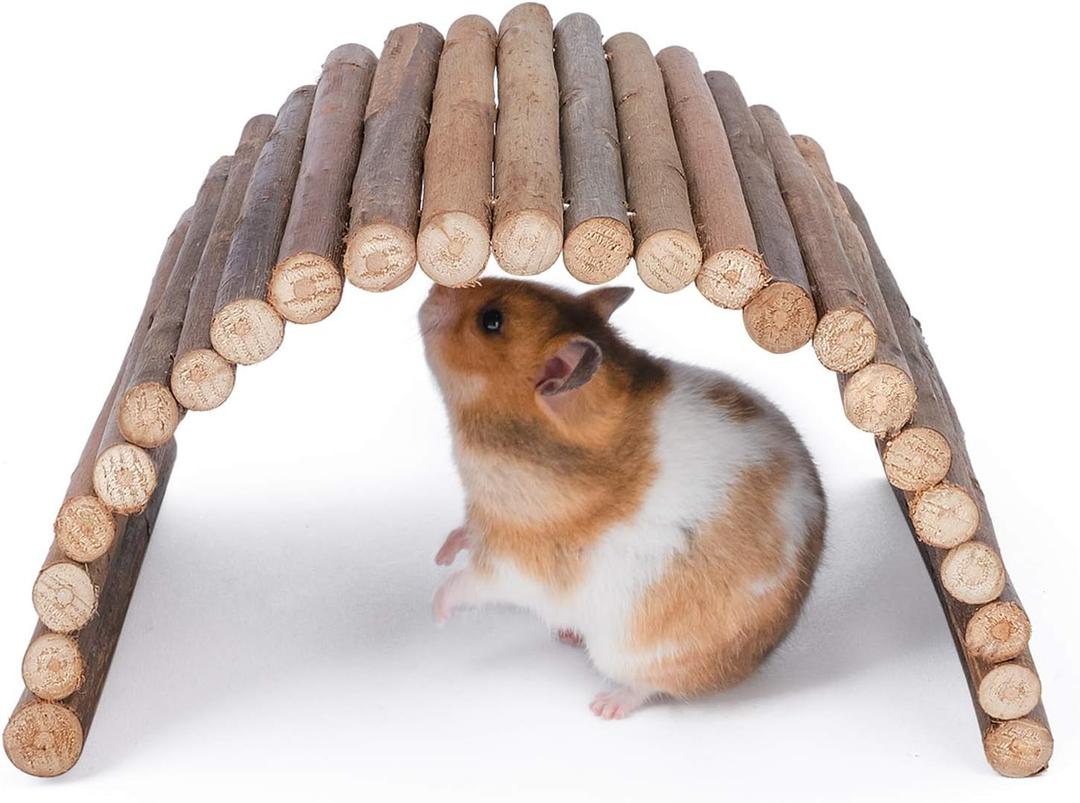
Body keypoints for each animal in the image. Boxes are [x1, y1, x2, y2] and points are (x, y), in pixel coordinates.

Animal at [419, 278, 826, 719]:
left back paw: (605, 706)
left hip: (638, 651)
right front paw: (439, 556)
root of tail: (762, 653)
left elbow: (468, 583)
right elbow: (462, 534)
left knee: (648, 686)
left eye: (491, 321)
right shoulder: (481, 521)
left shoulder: (515, 564)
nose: (430, 292)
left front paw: (436, 612)